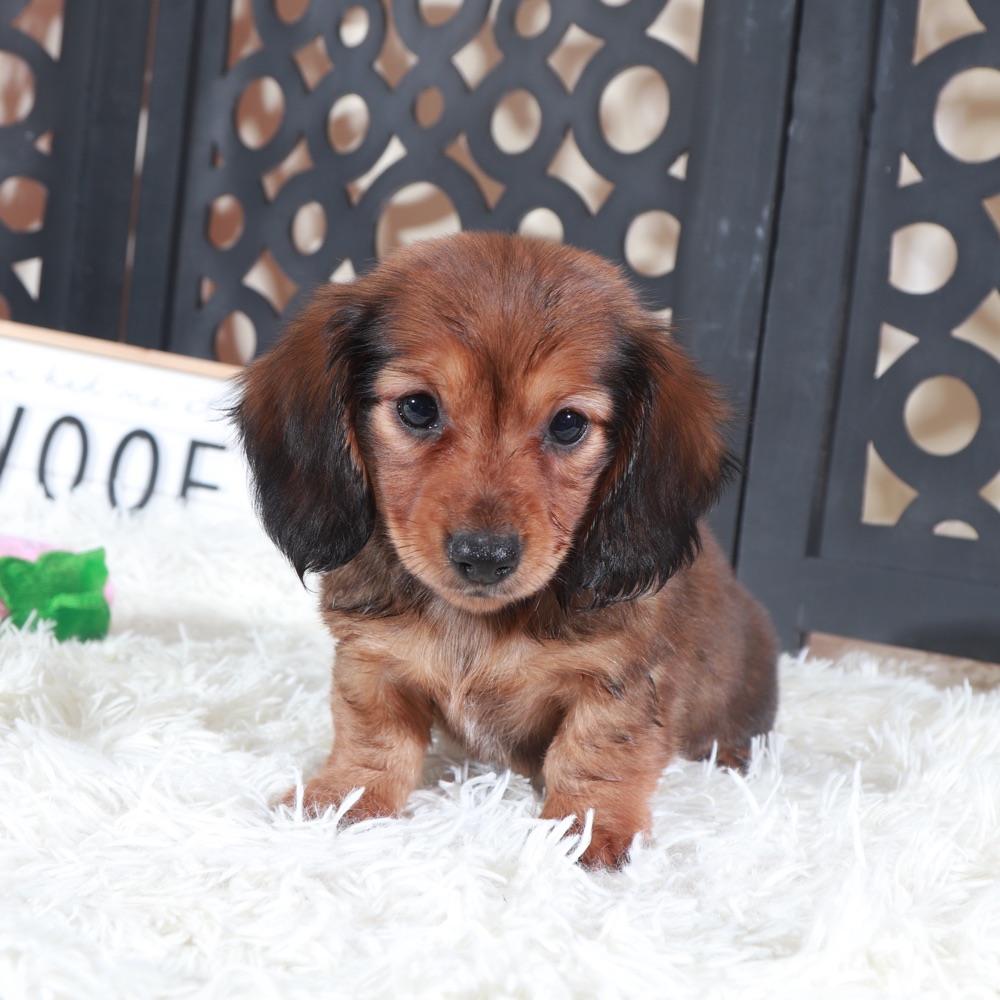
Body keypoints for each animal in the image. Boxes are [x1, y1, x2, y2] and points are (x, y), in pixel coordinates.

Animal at [233, 232, 778, 869]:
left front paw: (590, 829)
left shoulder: (620, 681)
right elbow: (373, 735)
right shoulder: (372, 660)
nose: (485, 556)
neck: (477, 622)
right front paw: (345, 797)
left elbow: (596, 753)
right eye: (418, 408)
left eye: (568, 424)